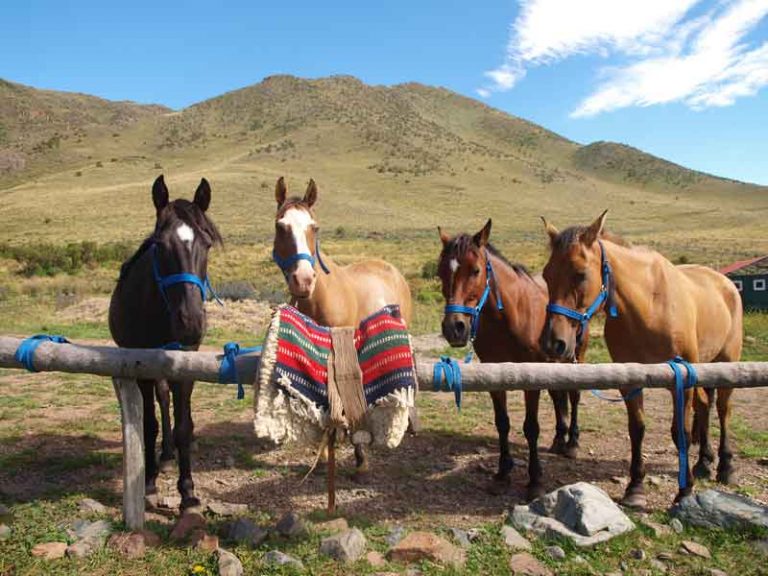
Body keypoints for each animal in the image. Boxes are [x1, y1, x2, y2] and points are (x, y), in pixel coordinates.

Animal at [108, 176, 222, 512]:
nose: (191, 323)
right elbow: (148, 424)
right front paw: (148, 481)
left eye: (207, 244)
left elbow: (184, 425)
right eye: (159, 245)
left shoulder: (184, 365)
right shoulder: (142, 369)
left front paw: (188, 491)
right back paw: (165, 454)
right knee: (161, 400)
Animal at [272, 177, 414, 482]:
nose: (303, 280)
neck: (321, 298)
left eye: (314, 227)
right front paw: (326, 452)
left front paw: (360, 458)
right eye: (281, 226)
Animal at [436, 220, 584, 500]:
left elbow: (531, 427)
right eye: (440, 273)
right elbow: (502, 423)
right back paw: (559, 440)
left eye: (476, 270)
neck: (510, 316)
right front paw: (502, 473)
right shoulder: (494, 376)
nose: (454, 328)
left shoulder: (531, 377)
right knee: (558, 396)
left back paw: (571, 443)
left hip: (576, 357)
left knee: (573, 395)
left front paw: (535, 480)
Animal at [540, 209, 744, 506]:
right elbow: (636, 429)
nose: (553, 342)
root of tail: (726, 283)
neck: (649, 306)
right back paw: (704, 463)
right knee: (705, 405)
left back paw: (726, 467)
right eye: (546, 275)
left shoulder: (680, 380)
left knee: (723, 409)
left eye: (580, 274)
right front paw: (635, 487)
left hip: (726, 362)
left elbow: (680, 433)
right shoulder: (631, 380)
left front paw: (685, 490)